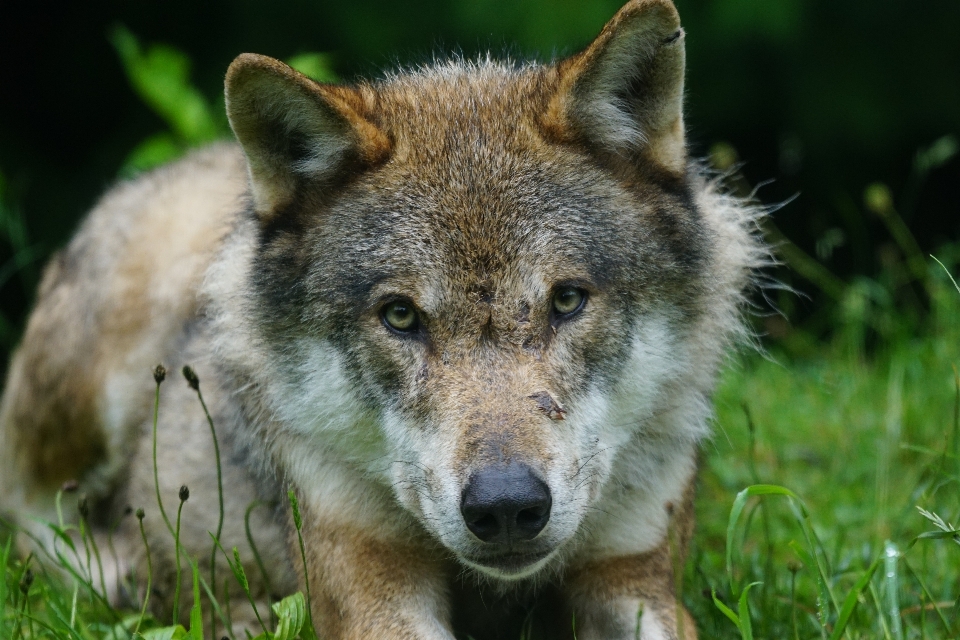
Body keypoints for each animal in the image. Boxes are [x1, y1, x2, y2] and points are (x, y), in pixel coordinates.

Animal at [0, 2, 764, 636]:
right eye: (400, 315)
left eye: (567, 300)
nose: (506, 506)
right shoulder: (365, 576)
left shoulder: (637, 575)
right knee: (36, 528)